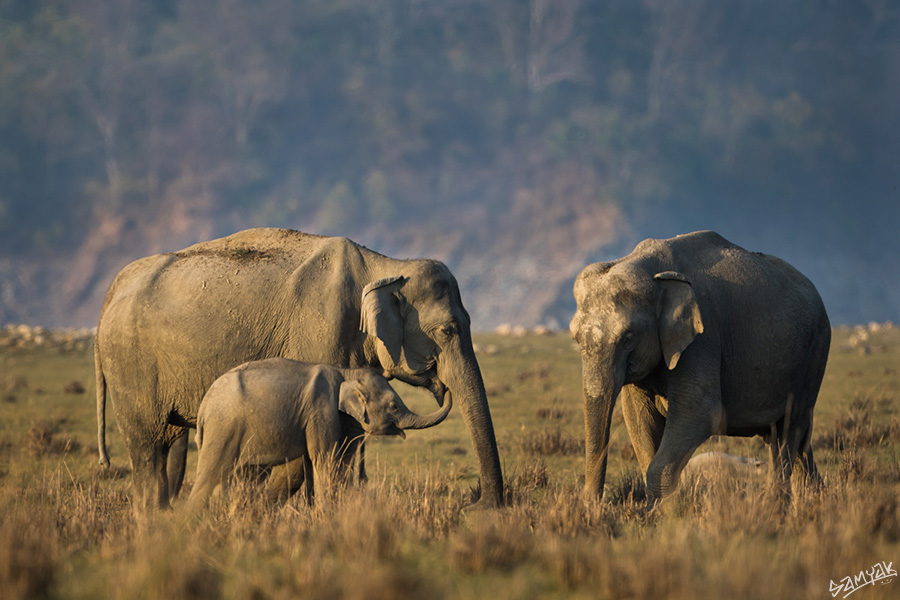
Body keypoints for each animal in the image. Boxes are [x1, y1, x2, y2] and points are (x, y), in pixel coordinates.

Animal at [185, 358, 450, 508]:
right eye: (394, 406)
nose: (444, 386)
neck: (346, 372)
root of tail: (204, 408)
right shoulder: (320, 410)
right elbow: (325, 460)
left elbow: (319, 464)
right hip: (222, 430)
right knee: (209, 476)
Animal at [568, 232, 828, 504]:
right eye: (575, 337)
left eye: (628, 338)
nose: (592, 504)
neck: (648, 266)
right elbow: (639, 419)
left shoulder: (703, 336)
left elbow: (700, 413)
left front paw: (662, 511)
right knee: (798, 441)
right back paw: (815, 498)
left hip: (814, 353)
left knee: (788, 431)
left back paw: (775, 505)